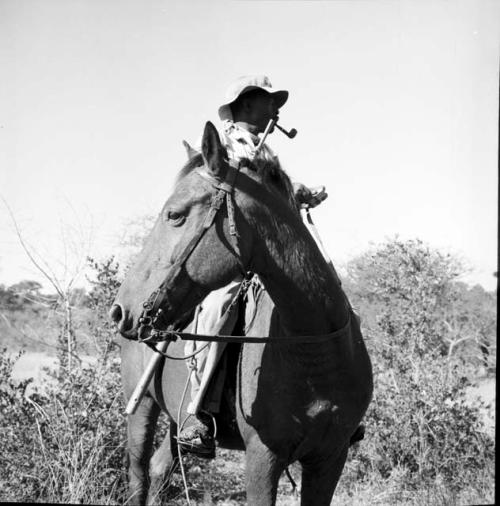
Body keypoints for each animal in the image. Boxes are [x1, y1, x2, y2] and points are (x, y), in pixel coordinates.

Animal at [111, 120, 374, 504]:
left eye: (175, 214)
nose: (120, 310)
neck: (314, 346)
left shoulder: (330, 458)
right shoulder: (263, 458)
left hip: (176, 421)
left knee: (161, 468)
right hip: (141, 408)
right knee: (139, 478)